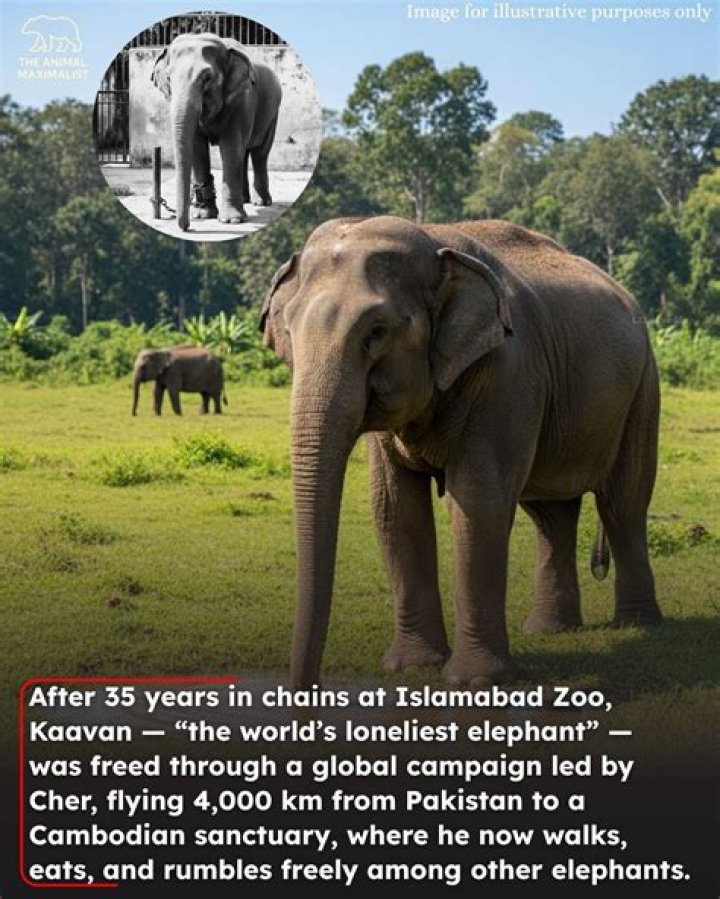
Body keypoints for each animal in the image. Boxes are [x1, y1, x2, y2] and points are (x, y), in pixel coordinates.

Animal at [151, 33, 282, 231]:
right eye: (168, 78)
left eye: (207, 78)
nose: (186, 228)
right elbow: (197, 148)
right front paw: (203, 215)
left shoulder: (241, 100)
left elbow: (230, 146)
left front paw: (231, 221)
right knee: (243, 153)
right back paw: (245, 200)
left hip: (272, 113)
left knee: (259, 153)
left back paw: (261, 203)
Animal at [260, 215, 662, 689]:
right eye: (288, 332)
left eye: (377, 332)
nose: (306, 693)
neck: (434, 240)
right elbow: (395, 508)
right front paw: (412, 666)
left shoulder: (508, 372)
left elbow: (477, 500)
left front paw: (475, 681)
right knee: (551, 513)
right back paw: (550, 629)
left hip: (643, 389)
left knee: (623, 504)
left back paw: (637, 625)